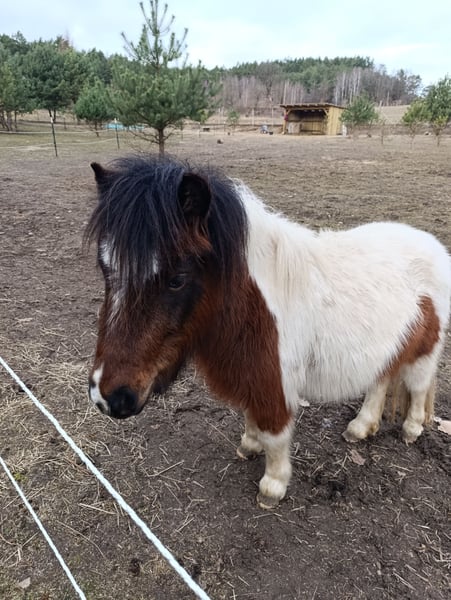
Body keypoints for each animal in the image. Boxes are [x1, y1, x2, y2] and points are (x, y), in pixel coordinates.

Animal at [86, 154, 451, 509]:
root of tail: (432, 244)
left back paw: (411, 430)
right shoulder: (252, 374)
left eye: (177, 279)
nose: (109, 397)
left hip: (423, 354)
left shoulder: (276, 383)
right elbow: (251, 416)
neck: (256, 305)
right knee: (380, 381)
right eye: (105, 268)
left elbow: (275, 435)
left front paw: (272, 486)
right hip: (387, 347)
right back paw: (360, 428)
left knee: (418, 389)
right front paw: (249, 446)